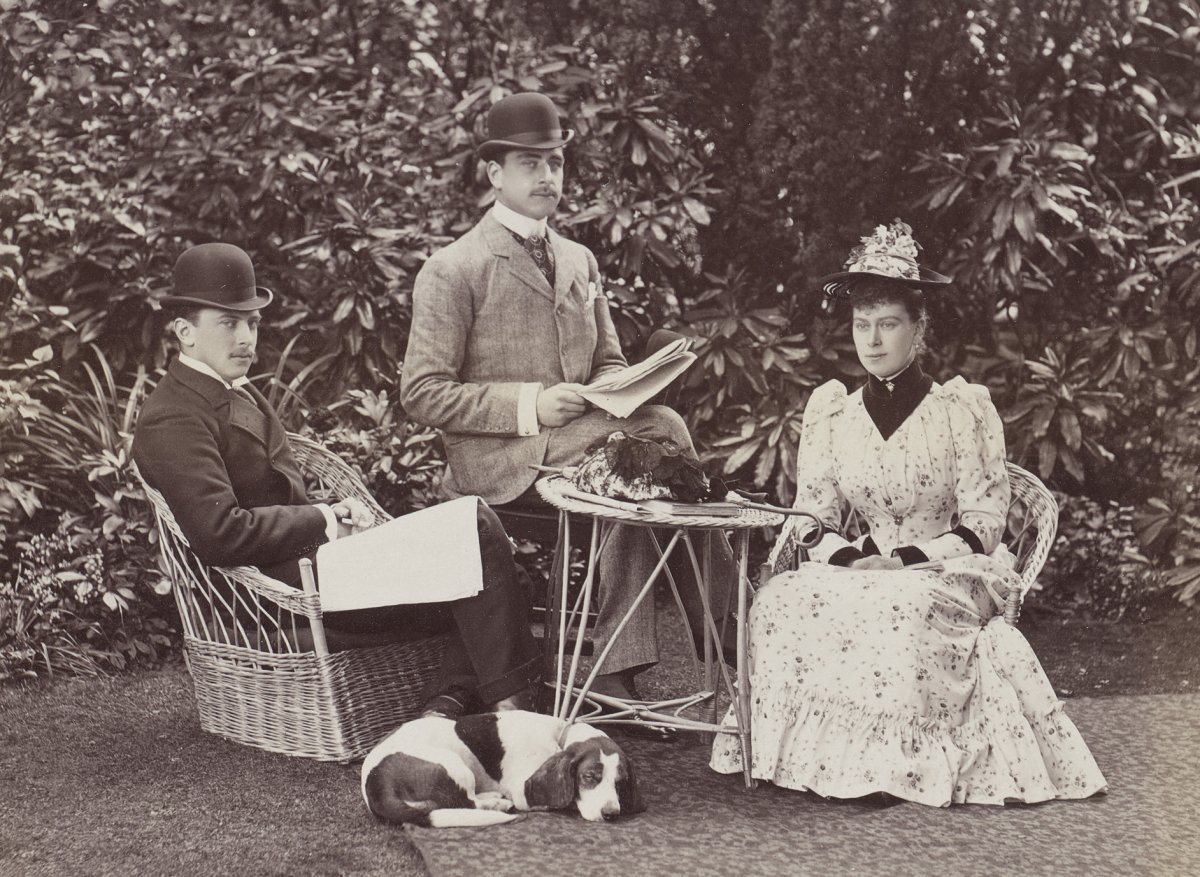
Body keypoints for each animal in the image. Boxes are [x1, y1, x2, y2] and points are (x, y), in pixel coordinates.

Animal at [362, 710, 648, 825]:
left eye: (620, 782)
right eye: (589, 777)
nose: (612, 814)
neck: (559, 736)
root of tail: (375, 780)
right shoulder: (524, 792)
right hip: (455, 766)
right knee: (464, 802)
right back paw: (496, 803)